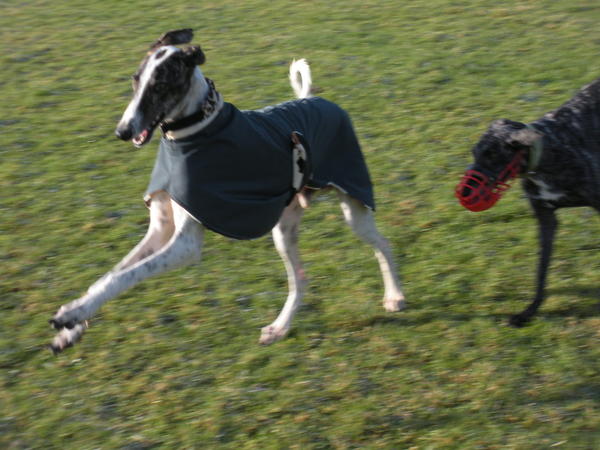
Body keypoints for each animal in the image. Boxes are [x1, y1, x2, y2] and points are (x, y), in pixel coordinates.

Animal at [49, 29, 406, 354]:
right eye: (135, 80)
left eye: (160, 85)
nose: (123, 131)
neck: (192, 132)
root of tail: (313, 98)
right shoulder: (160, 230)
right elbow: (111, 274)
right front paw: (71, 326)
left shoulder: (186, 245)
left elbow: (126, 275)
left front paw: (73, 314)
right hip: (283, 229)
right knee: (301, 279)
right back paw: (279, 328)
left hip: (353, 203)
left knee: (383, 244)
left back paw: (395, 296)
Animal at [458, 76, 600, 324]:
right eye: (474, 153)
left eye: (491, 156)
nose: (464, 194)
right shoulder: (545, 218)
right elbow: (541, 272)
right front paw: (529, 312)